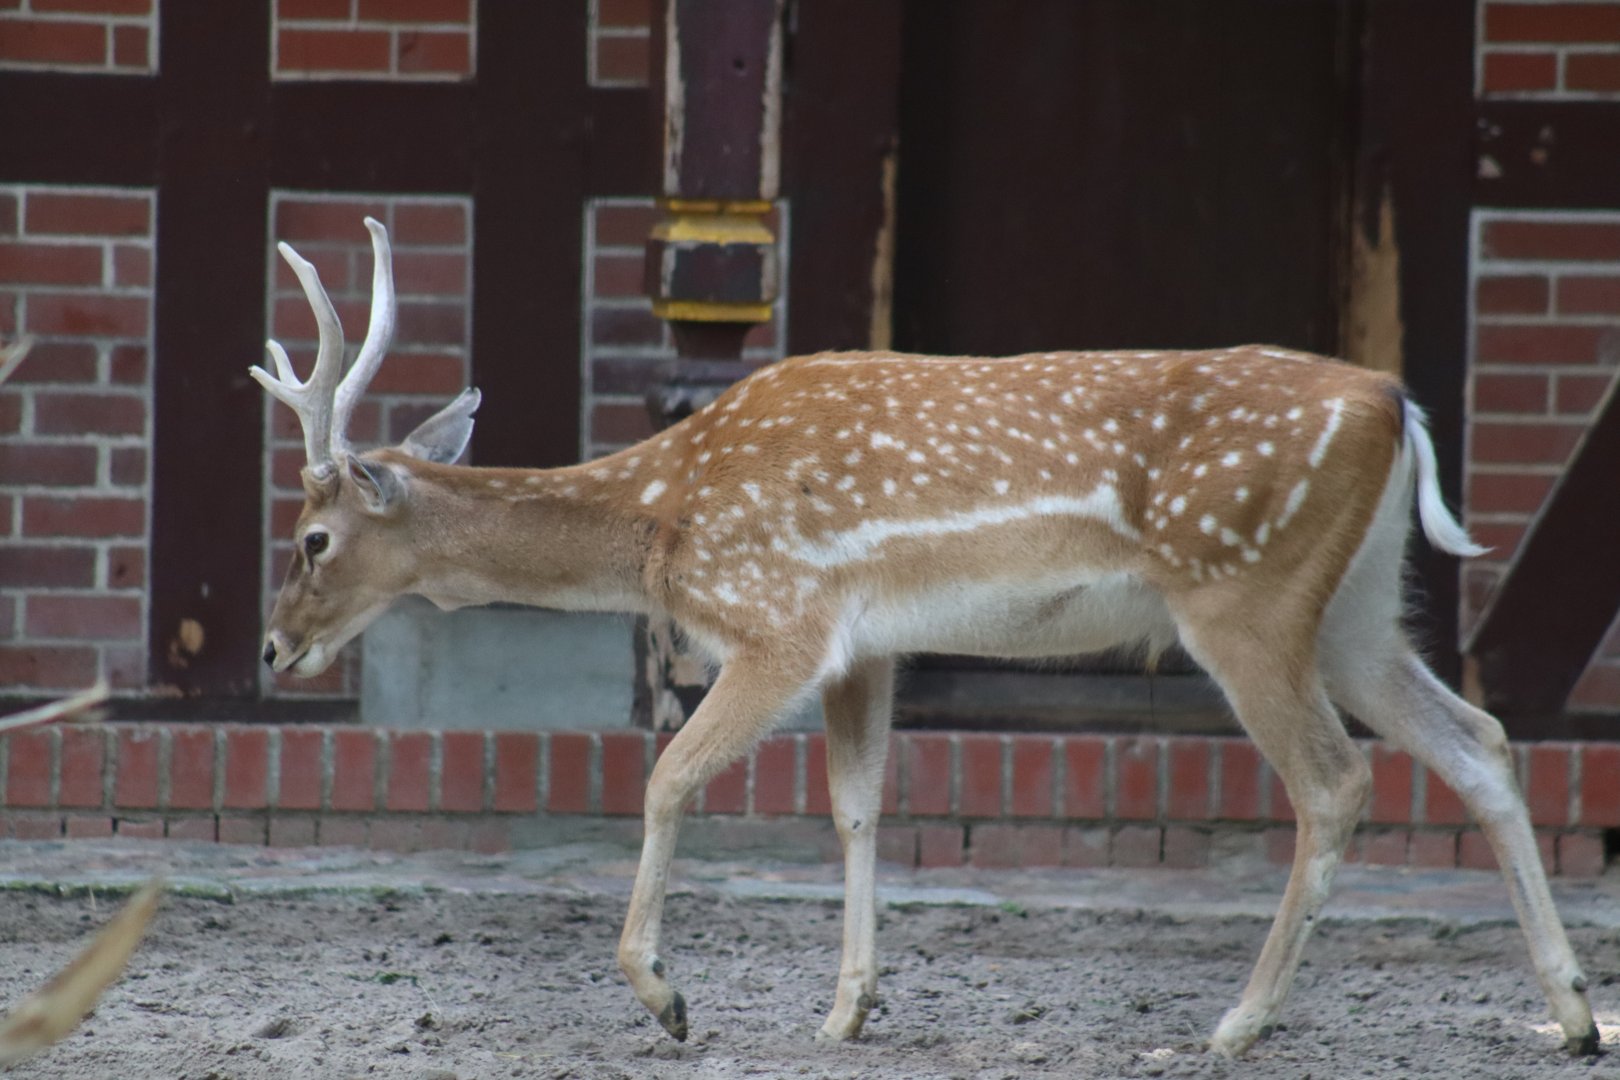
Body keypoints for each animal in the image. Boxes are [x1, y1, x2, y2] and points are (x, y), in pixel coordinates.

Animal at [254, 219, 1599, 1058]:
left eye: (312, 537)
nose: (270, 653)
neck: (665, 519)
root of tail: (1397, 404)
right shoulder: (867, 649)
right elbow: (858, 808)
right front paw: (848, 1011)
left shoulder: (780, 620)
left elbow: (670, 774)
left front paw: (667, 997)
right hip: (1360, 606)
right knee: (1481, 740)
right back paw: (1577, 1015)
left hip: (1247, 592)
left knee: (1336, 780)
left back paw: (1233, 1026)